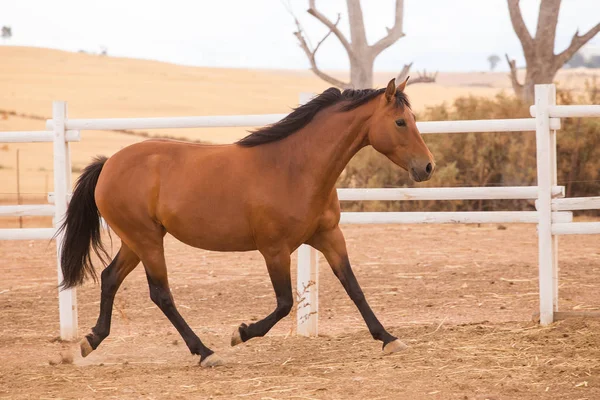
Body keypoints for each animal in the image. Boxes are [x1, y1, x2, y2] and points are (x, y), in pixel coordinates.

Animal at [58, 76, 436, 368]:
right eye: (401, 122)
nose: (428, 166)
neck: (294, 167)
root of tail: (109, 164)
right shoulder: (274, 249)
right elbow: (285, 303)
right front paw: (240, 333)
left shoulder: (328, 236)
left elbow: (353, 287)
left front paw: (389, 338)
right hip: (147, 240)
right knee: (161, 294)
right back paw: (206, 352)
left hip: (136, 241)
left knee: (110, 278)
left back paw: (91, 341)